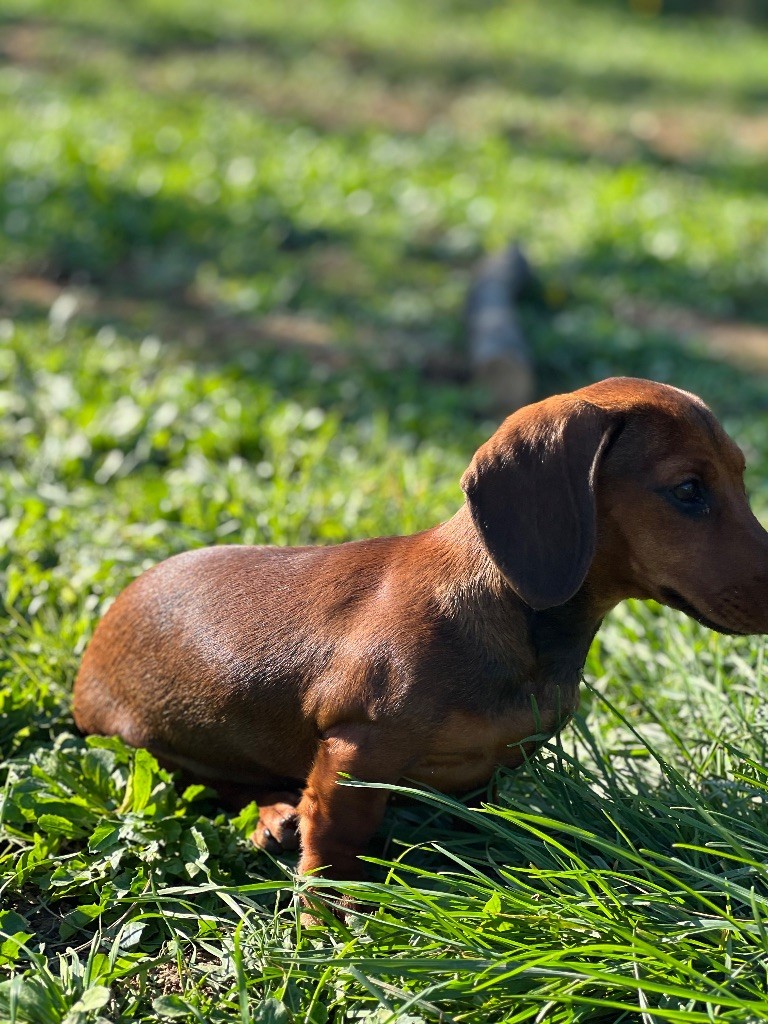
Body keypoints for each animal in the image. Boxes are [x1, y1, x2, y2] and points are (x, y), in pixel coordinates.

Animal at [75, 376, 768, 888]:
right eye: (687, 489)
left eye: (741, 475)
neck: (501, 615)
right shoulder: (353, 750)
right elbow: (337, 836)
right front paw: (327, 914)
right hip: (152, 742)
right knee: (209, 780)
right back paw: (275, 814)